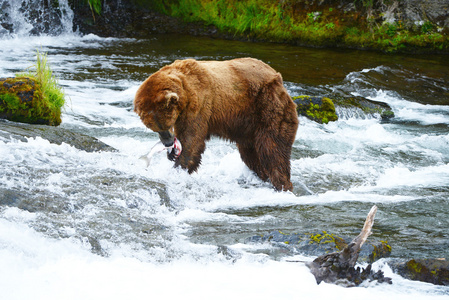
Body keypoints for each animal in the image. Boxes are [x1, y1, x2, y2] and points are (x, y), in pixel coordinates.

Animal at [135, 57, 300, 191]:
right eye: (155, 128)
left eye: (166, 124)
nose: (168, 142)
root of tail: (278, 78)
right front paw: (173, 154)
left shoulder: (199, 104)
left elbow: (192, 141)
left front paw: (178, 168)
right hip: (247, 126)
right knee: (250, 154)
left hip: (267, 106)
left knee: (273, 149)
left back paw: (282, 185)